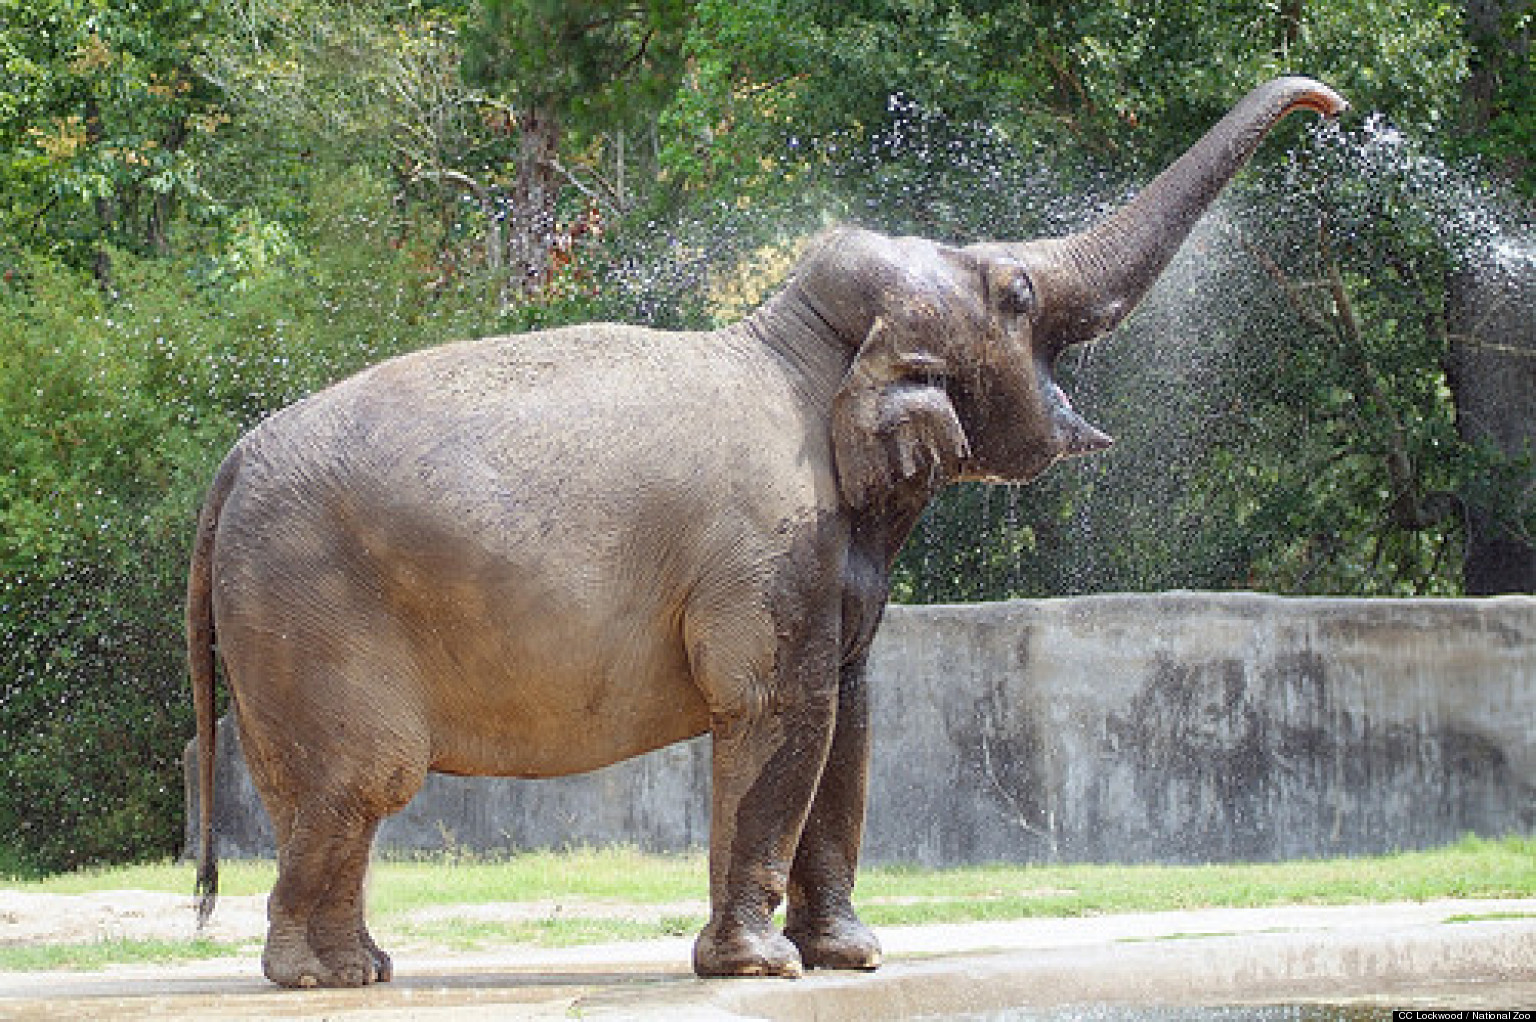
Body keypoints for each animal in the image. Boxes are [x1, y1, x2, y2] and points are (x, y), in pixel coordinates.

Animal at [188, 75, 1345, 983]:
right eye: (1017, 293)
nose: (1334, 105)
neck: (803, 346)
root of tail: (235, 457)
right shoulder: (770, 554)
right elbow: (783, 709)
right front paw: (763, 966)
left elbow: (853, 719)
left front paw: (851, 956)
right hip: (309, 605)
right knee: (366, 777)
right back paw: (319, 976)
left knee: (322, 796)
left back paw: (360, 968)